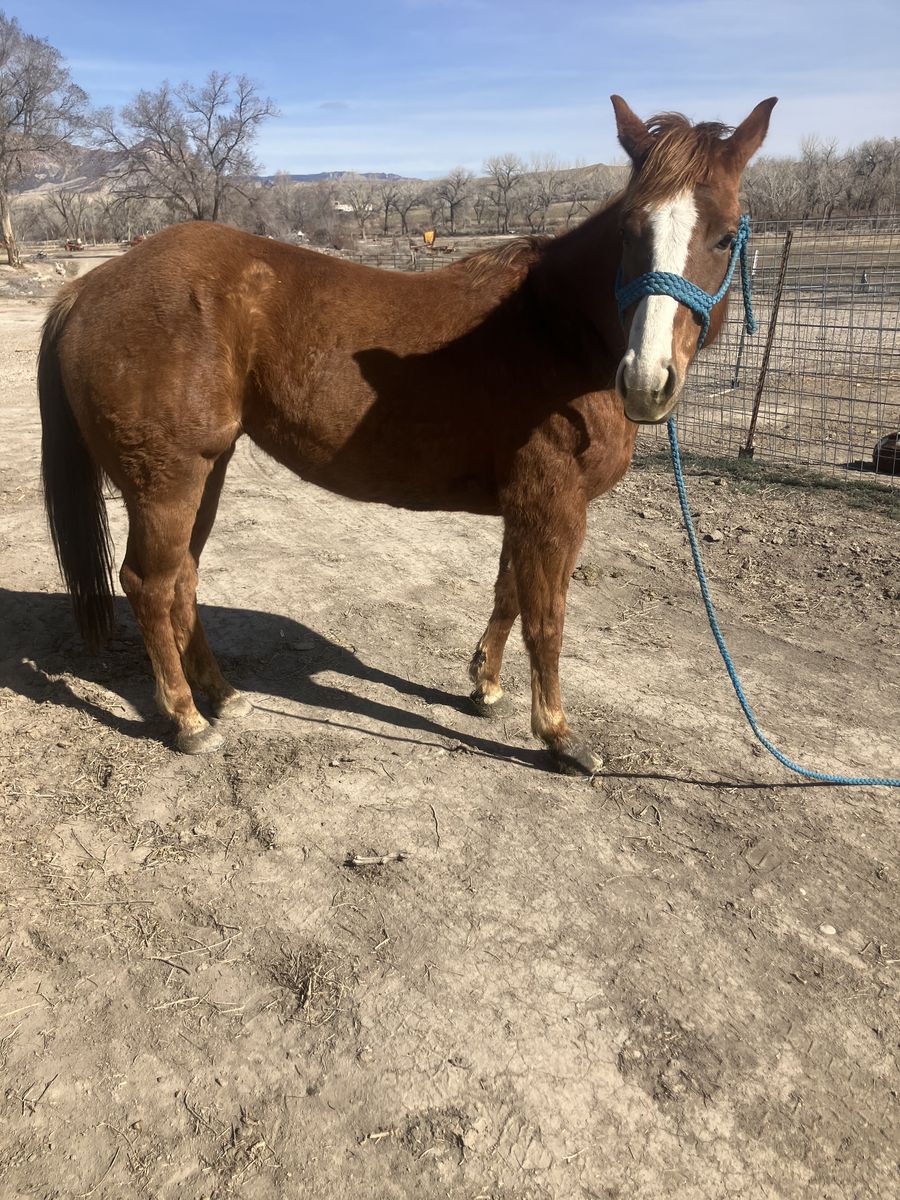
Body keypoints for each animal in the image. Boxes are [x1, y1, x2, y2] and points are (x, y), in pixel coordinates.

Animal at [38, 95, 776, 774]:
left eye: (722, 236)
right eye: (629, 231)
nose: (647, 381)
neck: (557, 329)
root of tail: (89, 287)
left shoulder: (526, 505)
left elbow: (509, 592)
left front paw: (485, 687)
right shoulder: (554, 506)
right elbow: (547, 617)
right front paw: (559, 736)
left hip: (206, 471)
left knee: (182, 578)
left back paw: (222, 695)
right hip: (167, 481)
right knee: (148, 583)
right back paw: (187, 718)